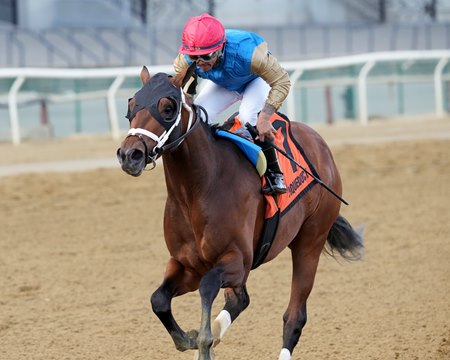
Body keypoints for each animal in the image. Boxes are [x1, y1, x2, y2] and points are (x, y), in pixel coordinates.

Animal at [116, 64, 362, 360]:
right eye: (132, 105)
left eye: (167, 107)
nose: (129, 155)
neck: (197, 190)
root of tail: (320, 144)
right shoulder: (187, 264)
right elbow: (159, 299)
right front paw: (189, 338)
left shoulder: (237, 260)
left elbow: (208, 286)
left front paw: (202, 341)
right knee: (240, 299)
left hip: (310, 242)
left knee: (294, 316)